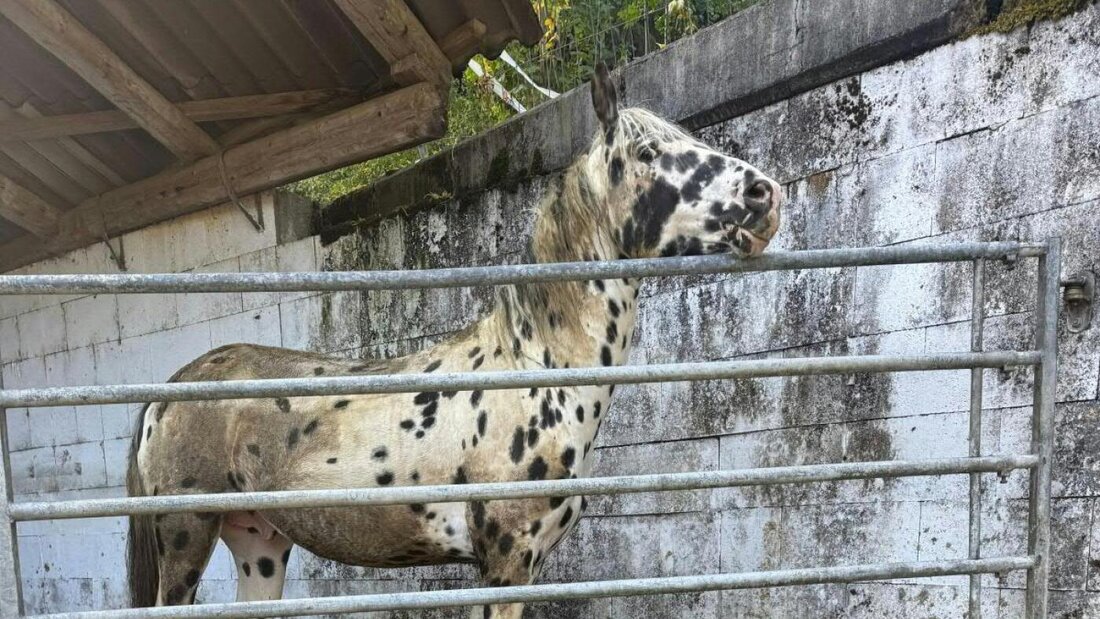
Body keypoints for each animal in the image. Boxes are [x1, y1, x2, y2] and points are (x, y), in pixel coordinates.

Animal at [126, 65, 782, 618]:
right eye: (648, 153)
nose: (765, 195)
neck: (536, 370)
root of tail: (172, 387)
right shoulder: (506, 561)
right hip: (188, 537)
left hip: (257, 541)